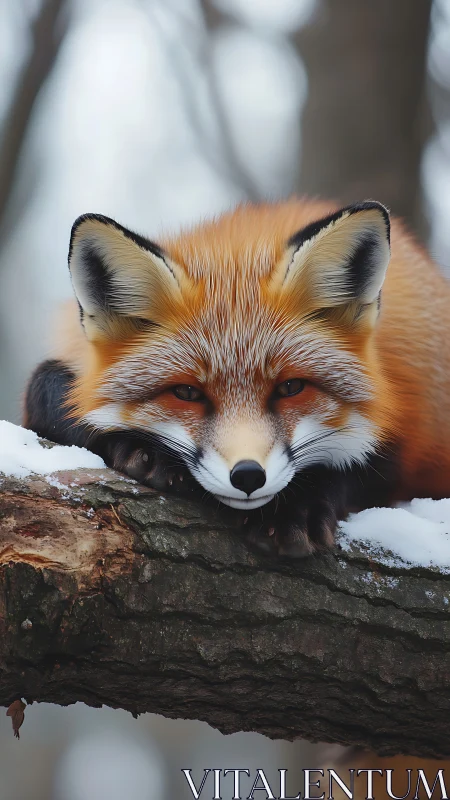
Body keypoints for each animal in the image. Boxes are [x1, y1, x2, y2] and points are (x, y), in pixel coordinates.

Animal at [23, 198, 450, 557]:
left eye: (290, 387)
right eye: (186, 392)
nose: (248, 476)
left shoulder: (406, 427)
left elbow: (363, 465)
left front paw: (297, 509)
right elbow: (48, 389)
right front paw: (146, 451)